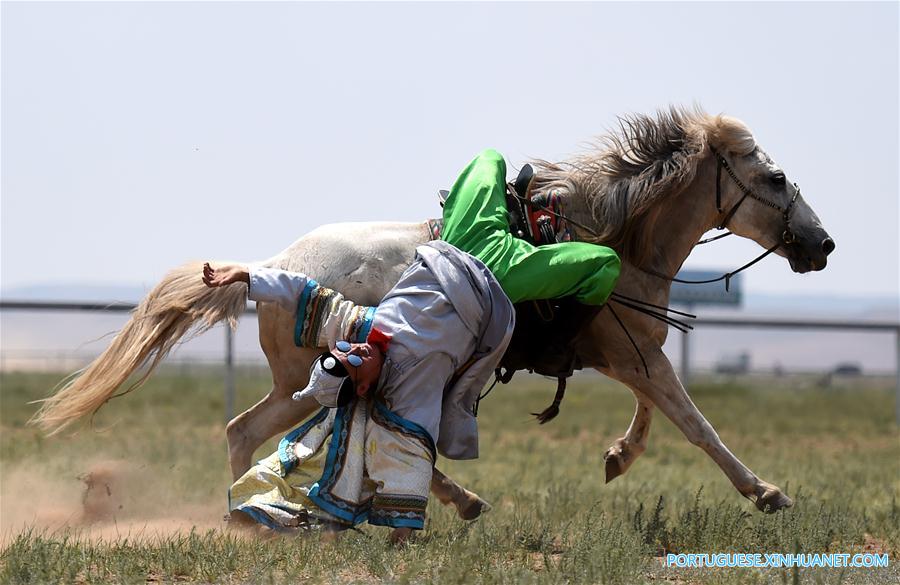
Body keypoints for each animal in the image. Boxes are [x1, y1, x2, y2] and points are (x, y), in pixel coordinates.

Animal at [35, 108, 836, 516]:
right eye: (774, 177)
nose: (822, 244)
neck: (615, 233)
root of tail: (271, 266)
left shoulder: (625, 353)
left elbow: (658, 409)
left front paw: (617, 456)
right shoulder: (628, 352)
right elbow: (693, 419)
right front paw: (765, 491)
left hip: (299, 377)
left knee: (248, 427)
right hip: (327, 369)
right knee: (269, 427)